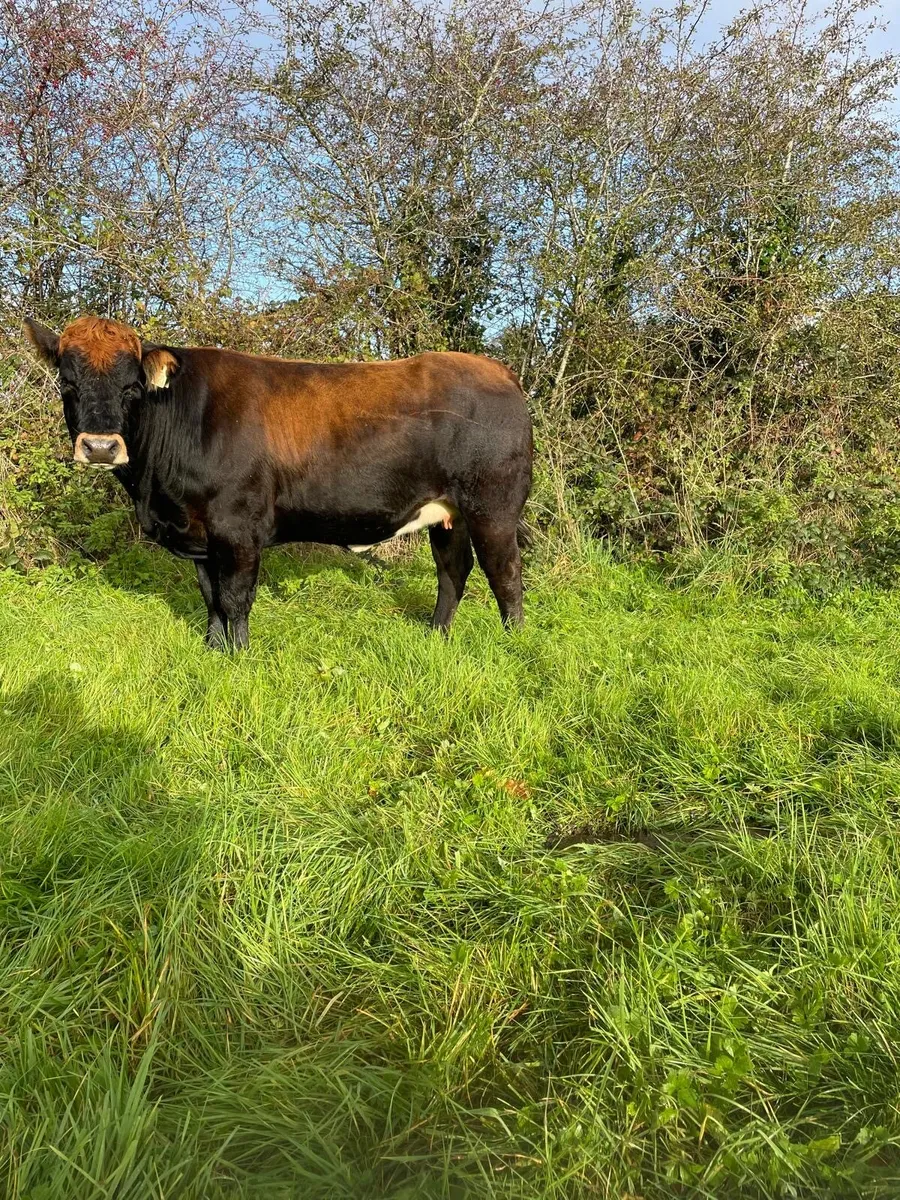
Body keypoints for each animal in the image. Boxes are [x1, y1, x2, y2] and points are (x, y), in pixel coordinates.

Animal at [24, 316, 533, 650]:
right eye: (67, 384)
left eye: (132, 386)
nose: (100, 446)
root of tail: (499, 370)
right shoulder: (203, 535)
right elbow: (210, 596)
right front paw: (213, 649)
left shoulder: (238, 527)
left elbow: (235, 598)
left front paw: (240, 656)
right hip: (449, 513)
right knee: (453, 570)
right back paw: (436, 635)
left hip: (493, 507)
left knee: (505, 574)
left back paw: (514, 645)